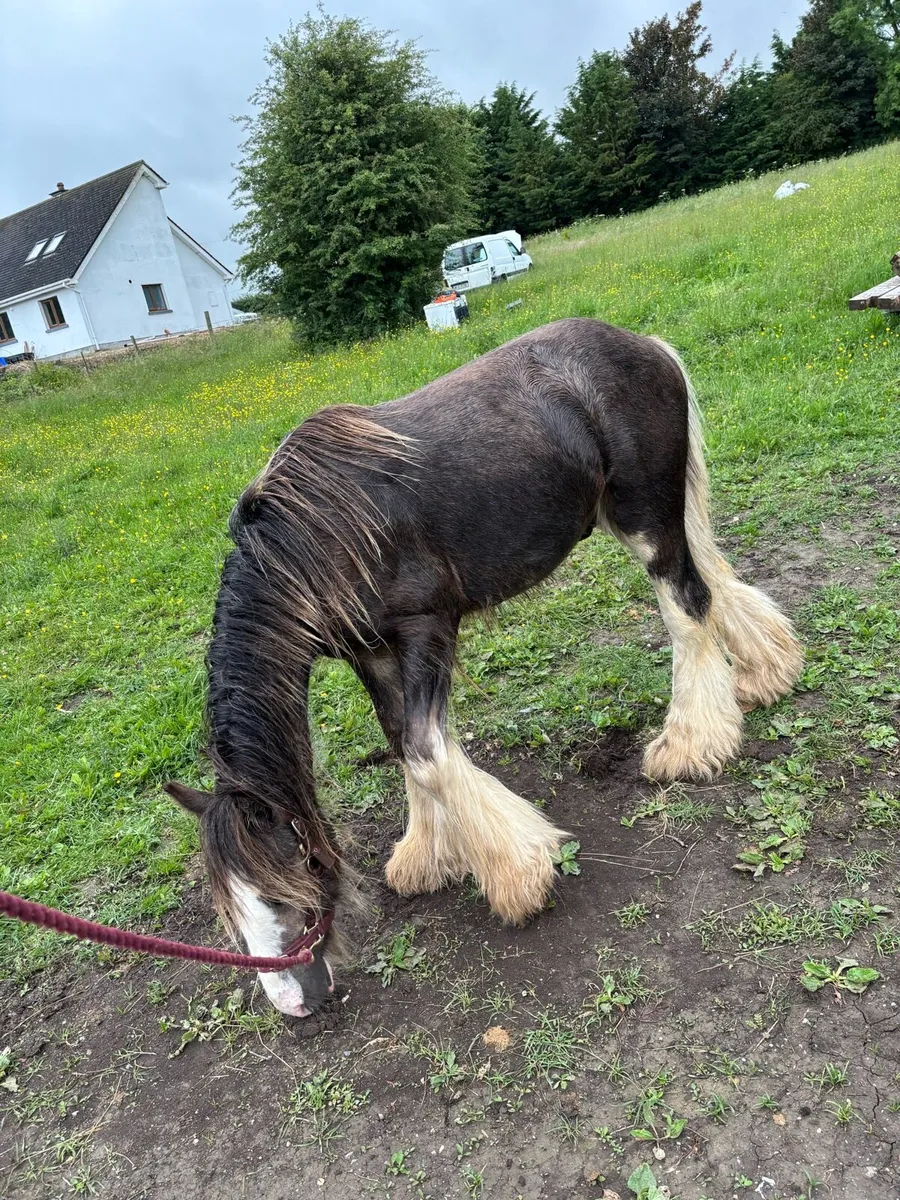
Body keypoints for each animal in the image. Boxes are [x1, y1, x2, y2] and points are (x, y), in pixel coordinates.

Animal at [164, 318, 803, 1017]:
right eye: (231, 910)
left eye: (281, 892)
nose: (293, 1005)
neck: (317, 538)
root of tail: (642, 345)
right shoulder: (371, 654)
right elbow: (403, 745)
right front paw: (426, 855)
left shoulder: (427, 629)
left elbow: (426, 752)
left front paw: (518, 869)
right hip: (633, 517)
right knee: (713, 583)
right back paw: (765, 675)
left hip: (646, 523)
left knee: (687, 607)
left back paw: (690, 744)